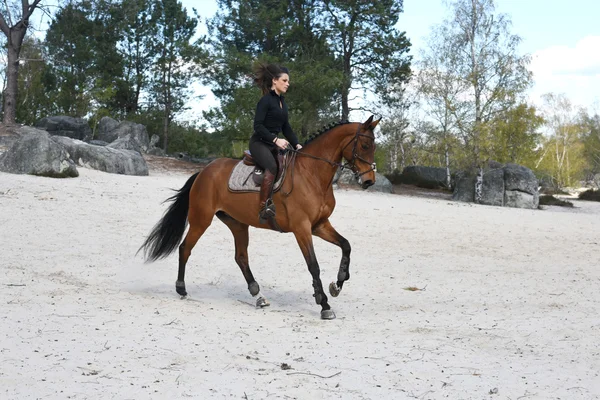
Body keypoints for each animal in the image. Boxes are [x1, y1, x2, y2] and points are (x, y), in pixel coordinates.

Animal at [138, 115, 378, 318]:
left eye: (374, 146)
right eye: (365, 146)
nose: (369, 181)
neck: (312, 173)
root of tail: (204, 171)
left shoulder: (319, 225)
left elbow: (346, 245)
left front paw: (337, 284)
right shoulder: (301, 228)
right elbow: (313, 265)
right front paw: (324, 304)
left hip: (237, 224)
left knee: (241, 258)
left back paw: (258, 295)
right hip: (201, 220)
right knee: (185, 248)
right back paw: (181, 288)